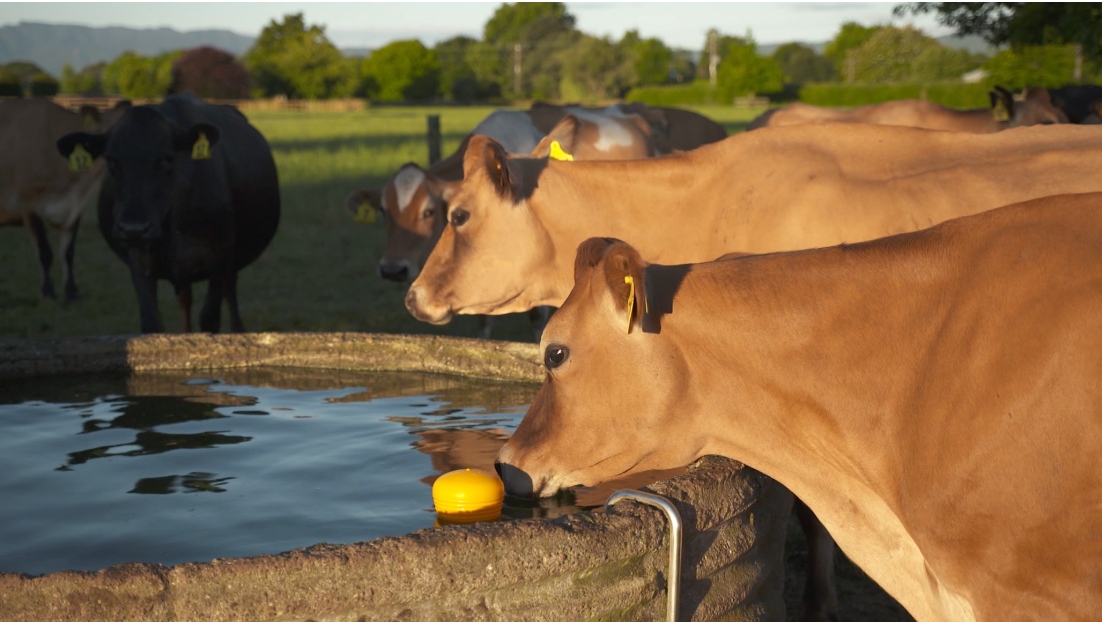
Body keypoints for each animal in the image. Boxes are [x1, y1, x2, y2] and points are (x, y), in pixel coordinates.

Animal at [0, 98, 130, 301]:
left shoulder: (75, 208)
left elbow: (68, 252)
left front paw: (71, 291)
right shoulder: (28, 204)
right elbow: (44, 252)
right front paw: (47, 292)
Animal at [55, 93, 280, 334]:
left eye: (166, 159)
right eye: (111, 161)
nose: (133, 228)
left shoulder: (219, 257)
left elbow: (209, 319)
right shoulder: (139, 259)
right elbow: (151, 322)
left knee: (230, 293)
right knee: (185, 300)